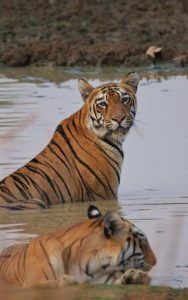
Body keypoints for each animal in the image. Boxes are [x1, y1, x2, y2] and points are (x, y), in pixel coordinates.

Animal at [0, 205, 156, 288]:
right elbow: (56, 282)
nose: (155, 262)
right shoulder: (31, 284)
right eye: (142, 243)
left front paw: (135, 277)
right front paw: (68, 280)